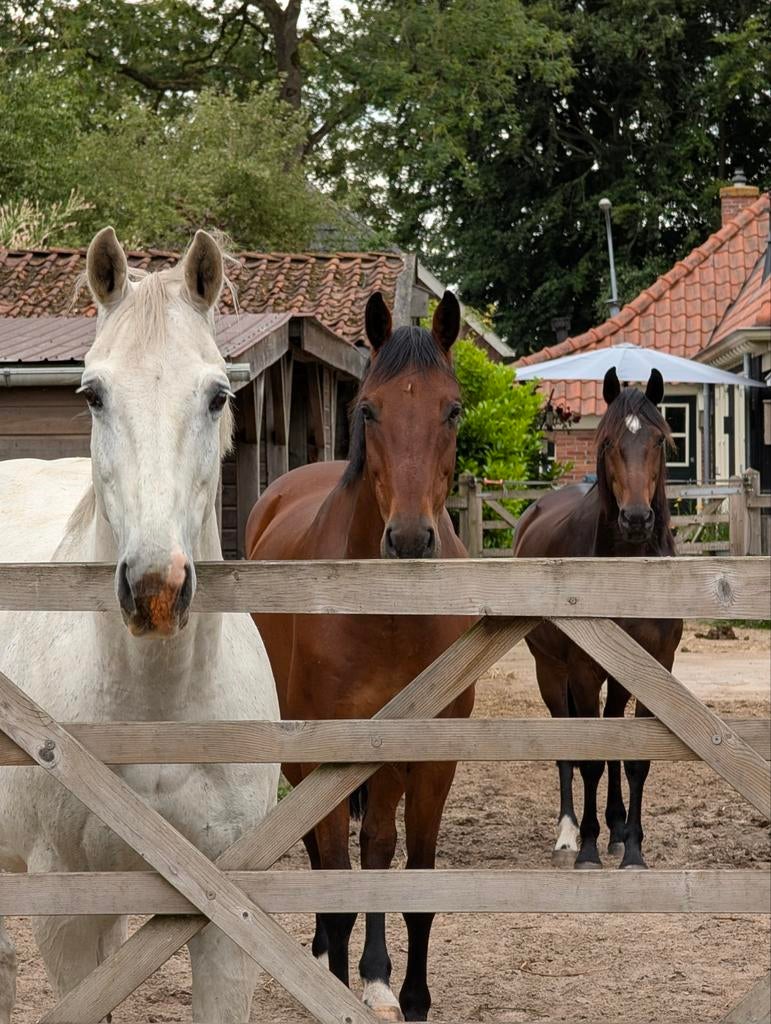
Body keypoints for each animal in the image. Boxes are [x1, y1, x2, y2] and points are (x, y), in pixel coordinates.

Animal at [0, 228, 280, 1023]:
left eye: (218, 395)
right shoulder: (66, 911)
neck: (158, 709)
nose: (156, 588)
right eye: (93, 393)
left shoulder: (222, 909)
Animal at [245, 291, 472, 1022]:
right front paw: (333, 977)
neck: (387, 615)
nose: (409, 539)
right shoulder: (327, 753)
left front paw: (409, 993)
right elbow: (336, 881)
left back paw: (372, 974)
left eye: (452, 409)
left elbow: (410, 880)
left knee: (372, 843)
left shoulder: (428, 758)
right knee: (322, 854)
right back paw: (326, 952)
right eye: (368, 409)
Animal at [514, 368, 682, 870]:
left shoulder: (654, 666)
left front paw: (633, 849)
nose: (636, 519)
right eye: (607, 443)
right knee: (567, 746)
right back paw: (570, 832)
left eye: (659, 441)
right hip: (551, 671)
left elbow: (633, 759)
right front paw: (588, 848)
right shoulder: (584, 670)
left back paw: (617, 827)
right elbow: (588, 757)